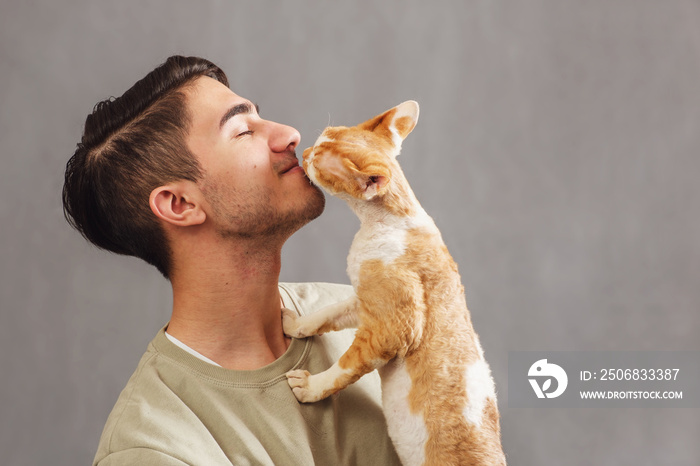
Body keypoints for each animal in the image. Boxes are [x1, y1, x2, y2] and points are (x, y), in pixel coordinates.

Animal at [284, 100, 508, 464]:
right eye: (318, 142)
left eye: (317, 157)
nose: (302, 152)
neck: (388, 222)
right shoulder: (363, 299)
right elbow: (326, 314)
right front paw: (295, 325)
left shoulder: (395, 328)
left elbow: (347, 365)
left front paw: (312, 387)